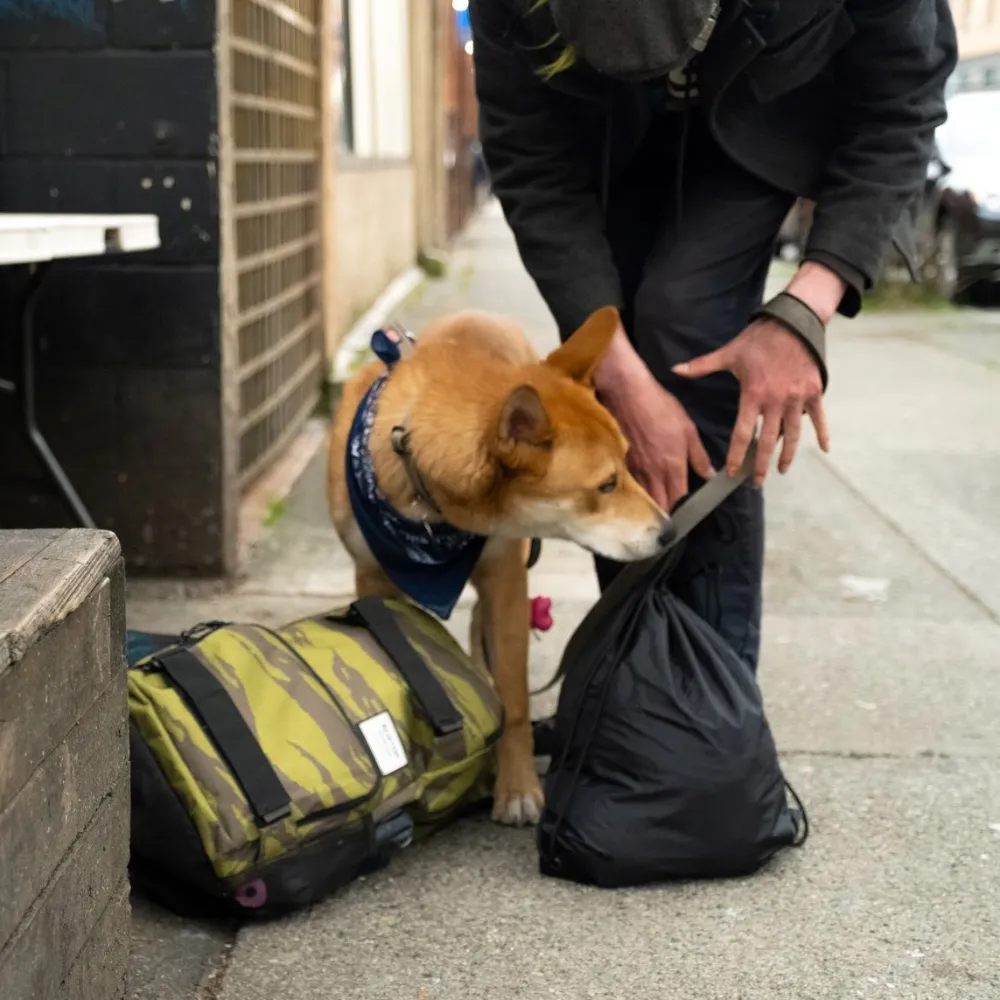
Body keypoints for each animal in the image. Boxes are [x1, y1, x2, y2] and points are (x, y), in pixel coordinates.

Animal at [328, 304, 672, 828]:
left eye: (629, 466)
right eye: (606, 485)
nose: (669, 531)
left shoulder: (506, 576)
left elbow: (513, 703)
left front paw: (517, 788)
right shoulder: (374, 581)